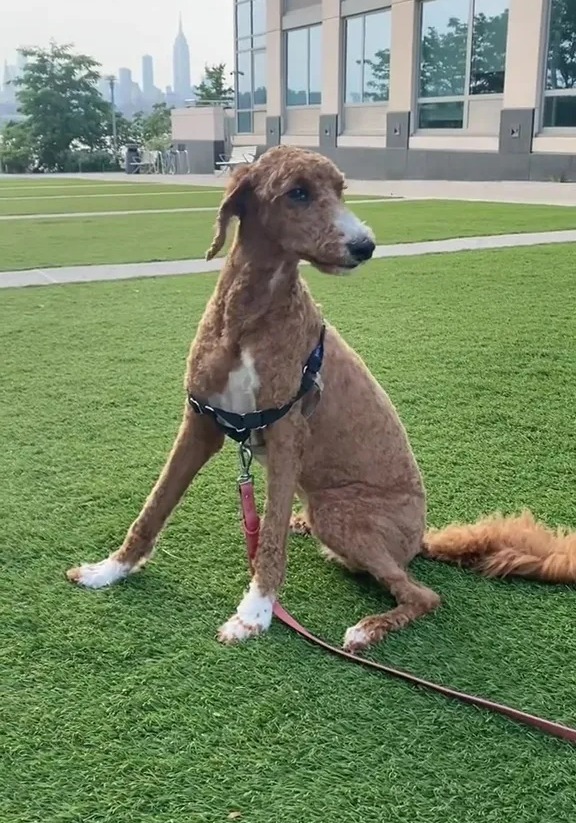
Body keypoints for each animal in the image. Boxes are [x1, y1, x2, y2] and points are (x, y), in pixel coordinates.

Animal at [66, 146, 576, 652]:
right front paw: (110, 569)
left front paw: (254, 613)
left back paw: (367, 628)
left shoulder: (286, 434)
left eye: (341, 190)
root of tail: (419, 539)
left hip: (340, 511)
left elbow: (268, 540)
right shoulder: (201, 423)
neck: (249, 317)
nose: (366, 246)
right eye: (298, 193)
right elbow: (154, 507)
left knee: (423, 595)